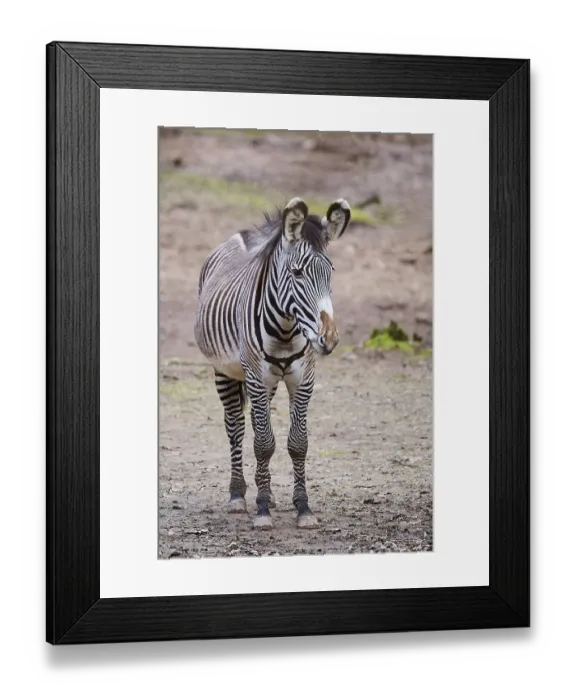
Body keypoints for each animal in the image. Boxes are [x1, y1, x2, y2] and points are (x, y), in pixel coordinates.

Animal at [194, 197, 351, 530]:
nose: (329, 339)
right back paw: (239, 495)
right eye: (297, 273)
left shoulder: (303, 379)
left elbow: (297, 442)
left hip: (266, 385)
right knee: (236, 427)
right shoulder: (254, 375)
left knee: (254, 424)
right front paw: (263, 509)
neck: (286, 329)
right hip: (225, 372)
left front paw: (302, 507)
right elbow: (264, 443)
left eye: (330, 272)